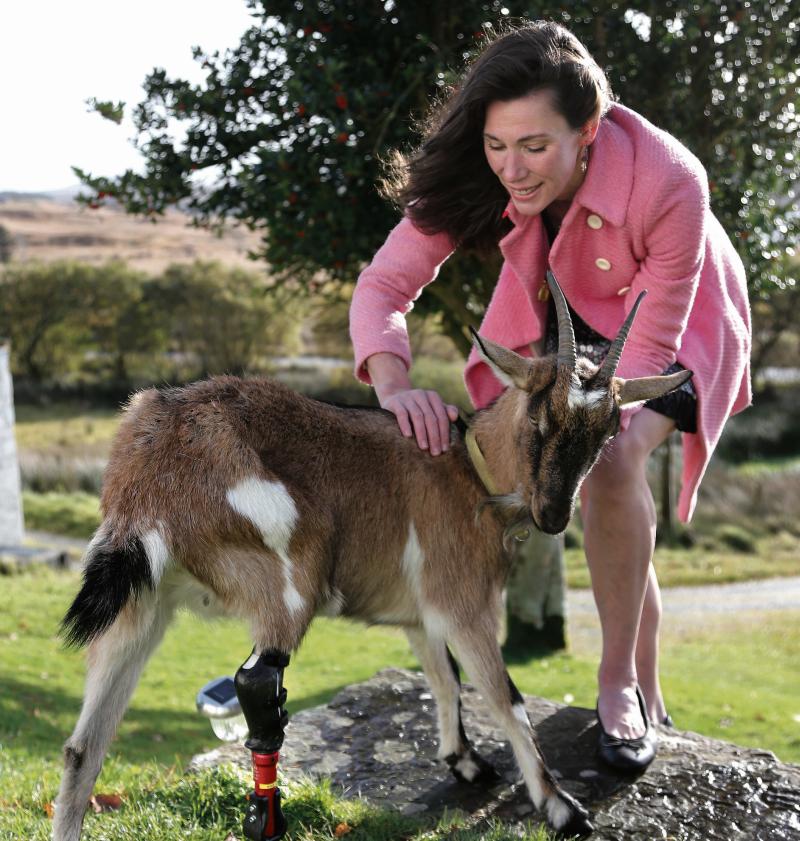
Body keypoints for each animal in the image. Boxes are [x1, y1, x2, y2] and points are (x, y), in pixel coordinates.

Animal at [53, 278, 692, 840]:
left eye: (607, 432)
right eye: (540, 416)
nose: (555, 515)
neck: (469, 468)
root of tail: (149, 469)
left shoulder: (421, 616)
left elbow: (443, 678)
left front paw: (465, 761)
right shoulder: (464, 605)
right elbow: (504, 697)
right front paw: (560, 807)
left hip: (141, 604)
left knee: (84, 745)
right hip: (288, 580)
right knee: (257, 682)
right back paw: (268, 819)